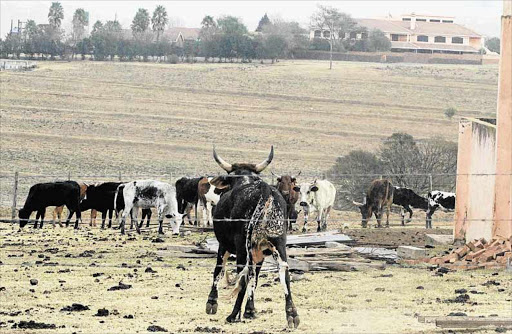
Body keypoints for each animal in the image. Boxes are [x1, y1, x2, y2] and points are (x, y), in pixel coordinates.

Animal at [205, 146, 300, 328]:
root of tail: (265, 190)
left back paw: (233, 315)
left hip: (243, 246)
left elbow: (219, 269)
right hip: (278, 243)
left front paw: (212, 302)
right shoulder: (260, 251)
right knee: (283, 271)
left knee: (243, 274)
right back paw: (292, 315)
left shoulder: (224, 245)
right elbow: (255, 278)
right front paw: (250, 310)